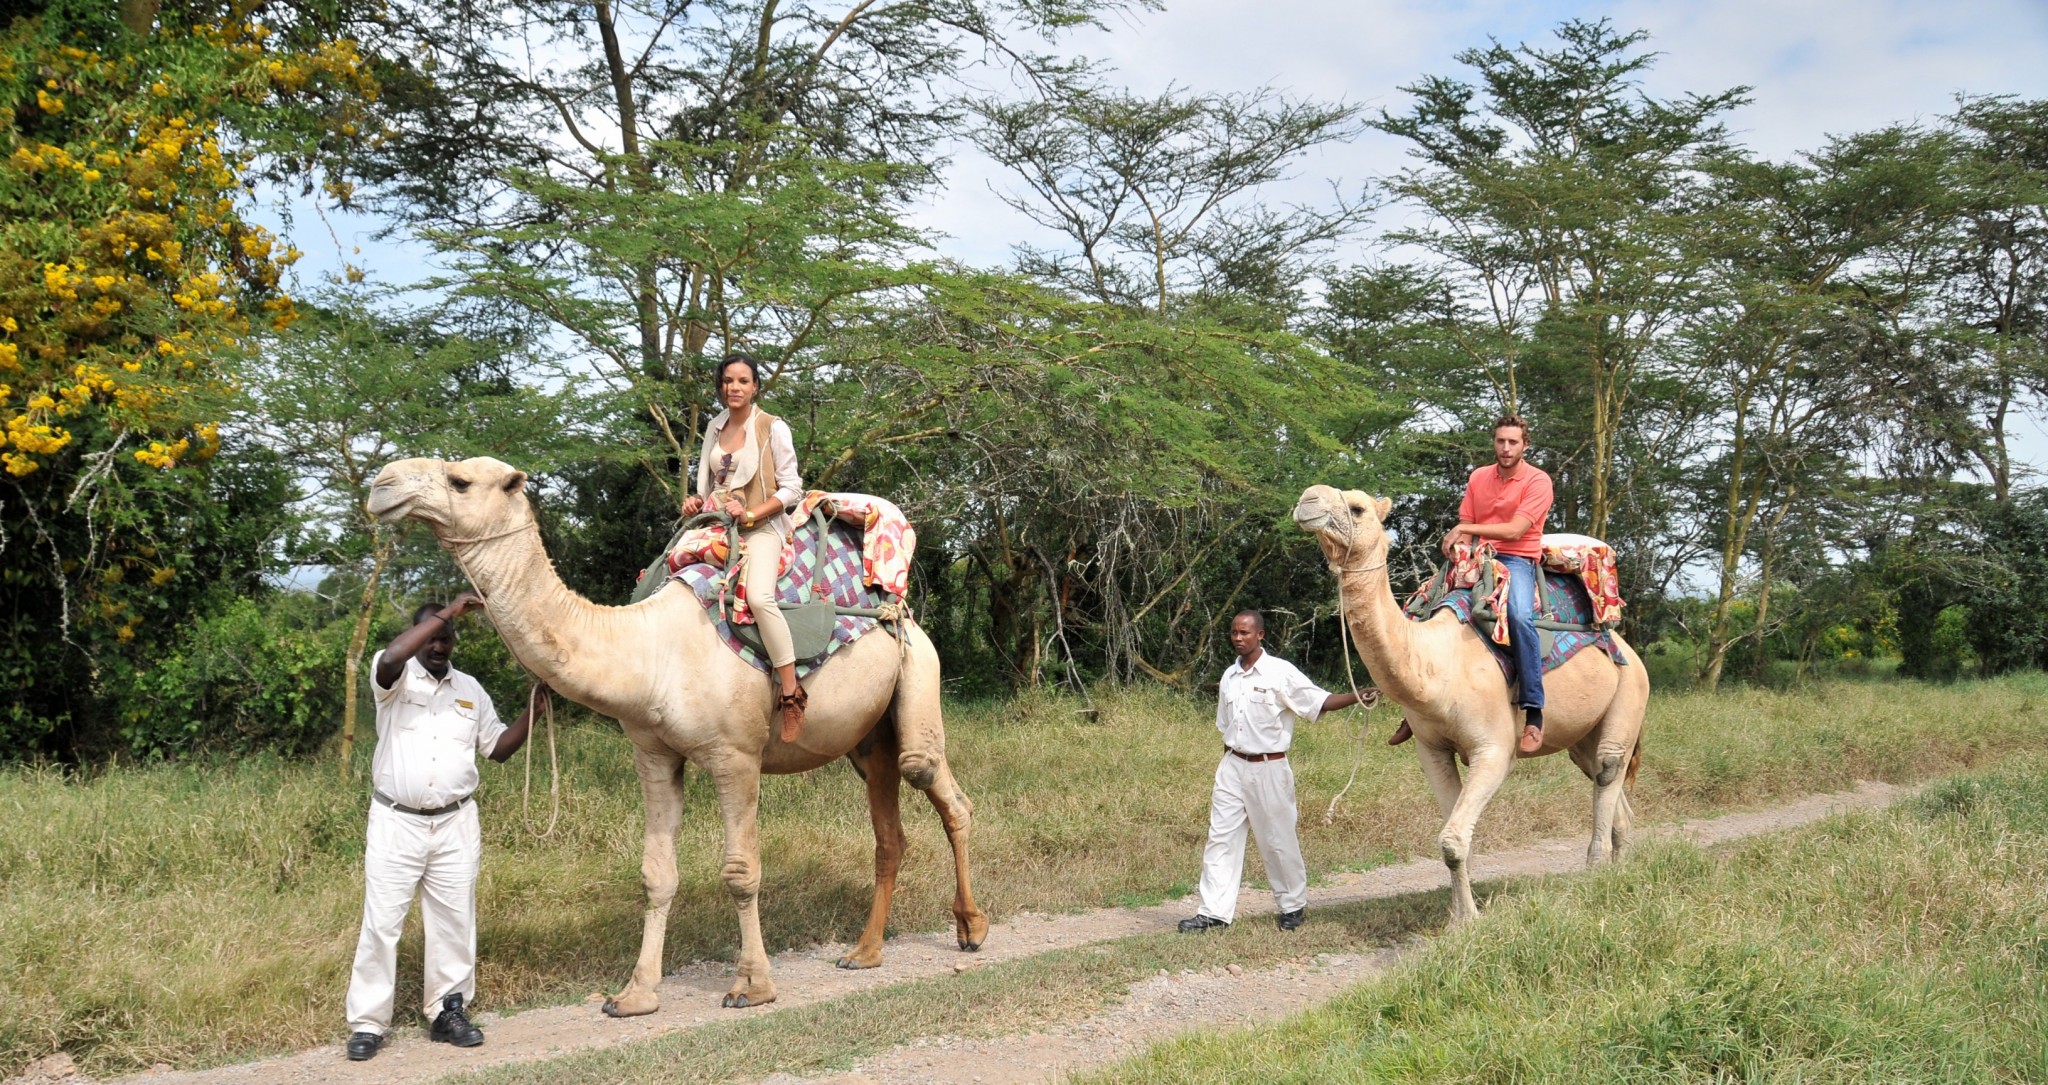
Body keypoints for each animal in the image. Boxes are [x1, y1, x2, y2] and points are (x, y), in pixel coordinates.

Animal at [368, 454, 991, 1003]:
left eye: (460, 479)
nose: (382, 483)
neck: (649, 651)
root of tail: (902, 610)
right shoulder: (654, 754)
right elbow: (657, 874)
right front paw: (634, 994)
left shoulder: (735, 755)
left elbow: (741, 871)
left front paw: (752, 986)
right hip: (867, 738)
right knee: (889, 829)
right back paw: (864, 952)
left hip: (918, 669)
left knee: (937, 784)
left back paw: (971, 927)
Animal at [1294, 483, 1646, 921]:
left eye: (1357, 508)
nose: (1307, 499)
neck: (1438, 665)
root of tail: (1626, 648)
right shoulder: (1431, 748)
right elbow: (1452, 838)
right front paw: (1457, 918)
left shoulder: (1494, 749)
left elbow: (1452, 840)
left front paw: (1469, 921)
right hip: (1583, 733)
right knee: (1604, 782)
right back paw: (1618, 871)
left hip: (1631, 691)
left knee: (1608, 768)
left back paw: (1596, 872)